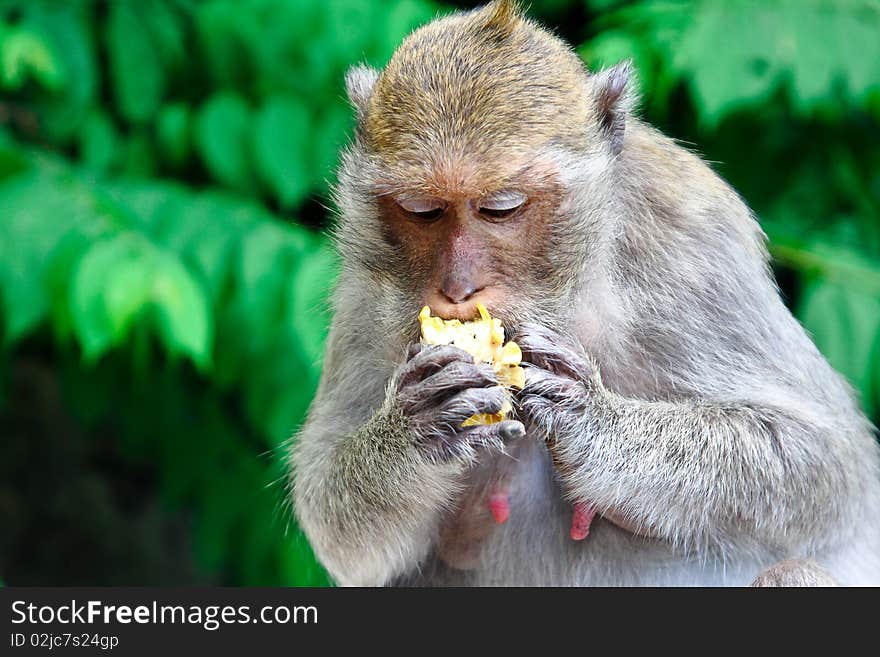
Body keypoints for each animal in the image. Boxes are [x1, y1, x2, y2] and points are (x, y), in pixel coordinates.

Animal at [288, 0, 880, 584]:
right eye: (422, 211)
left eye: (501, 208)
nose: (457, 287)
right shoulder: (364, 285)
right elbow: (335, 518)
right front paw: (414, 429)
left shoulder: (694, 236)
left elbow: (827, 463)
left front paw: (592, 421)